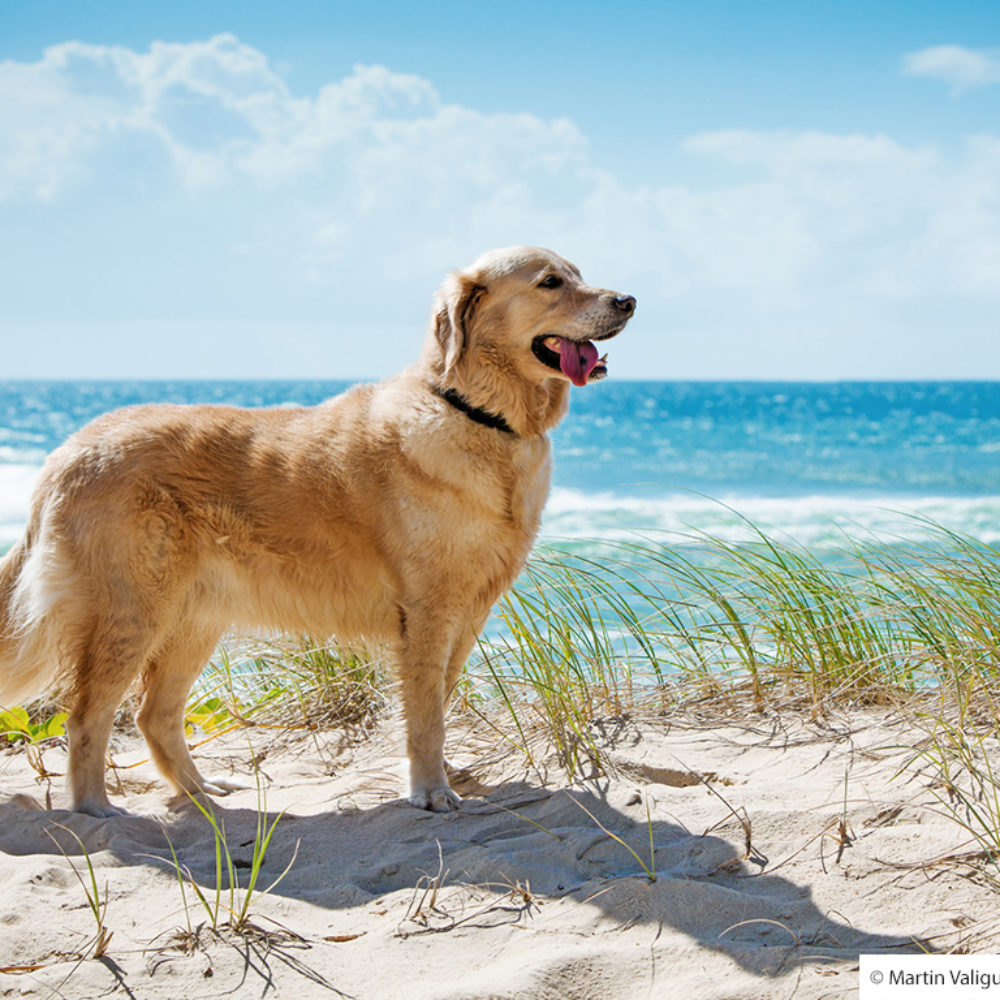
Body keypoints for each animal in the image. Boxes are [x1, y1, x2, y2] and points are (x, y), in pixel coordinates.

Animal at [0, 246, 636, 816]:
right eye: (551, 282)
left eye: (579, 273)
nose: (628, 300)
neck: (478, 414)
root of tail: (71, 447)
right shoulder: (428, 612)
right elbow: (427, 714)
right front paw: (430, 791)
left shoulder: (468, 611)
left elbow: (441, 698)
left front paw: (444, 776)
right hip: (131, 611)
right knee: (87, 716)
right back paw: (96, 810)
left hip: (194, 616)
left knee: (152, 715)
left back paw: (202, 792)